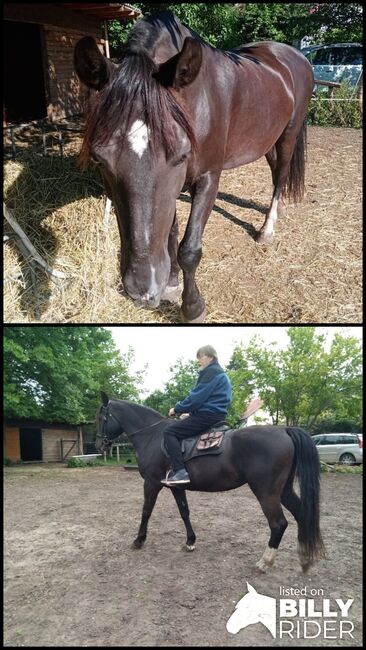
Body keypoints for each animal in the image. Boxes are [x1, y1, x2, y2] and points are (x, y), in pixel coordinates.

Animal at [75, 8, 314, 322]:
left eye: (180, 154)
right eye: (99, 159)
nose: (143, 289)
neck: (197, 99)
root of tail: (295, 56)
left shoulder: (208, 177)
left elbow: (188, 250)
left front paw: (192, 308)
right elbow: (171, 234)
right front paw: (171, 283)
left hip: (288, 134)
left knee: (282, 173)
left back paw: (267, 229)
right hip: (266, 138)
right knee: (276, 171)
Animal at [96, 390, 324, 572]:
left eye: (101, 418)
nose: (99, 445)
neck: (153, 435)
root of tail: (284, 430)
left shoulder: (152, 483)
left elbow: (146, 511)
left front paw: (139, 540)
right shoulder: (175, 487)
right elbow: (184, 512)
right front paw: (190, 541)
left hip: (266, 492)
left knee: (278, 524)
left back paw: (265, 562)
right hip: (283, 490)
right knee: (302, 514)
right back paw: (304, 558)